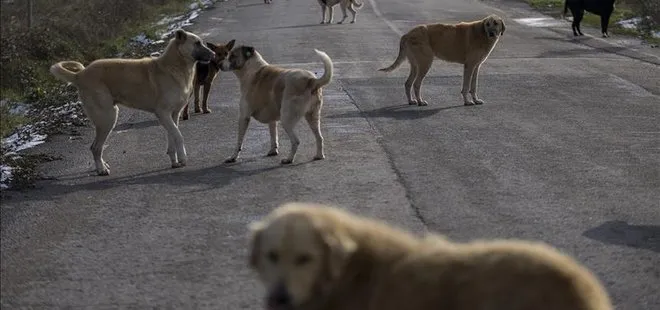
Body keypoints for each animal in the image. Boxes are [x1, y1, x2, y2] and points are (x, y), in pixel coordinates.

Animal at [52, 30, 217, 176]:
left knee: (97, 147)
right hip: (107, 118)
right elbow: (179, 136)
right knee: (95, 147)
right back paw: (101, 170)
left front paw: (175, 161)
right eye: (196, 43)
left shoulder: (173, 115)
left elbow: (172, 137)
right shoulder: (163, 113)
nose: (214, 55)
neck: (175, 66)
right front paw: (183, 158)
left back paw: (103, 166)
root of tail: (80, 75)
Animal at [376, 14, 506, 106]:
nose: (491, 33)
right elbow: (466, 86)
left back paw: (411, 101)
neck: (482, 33)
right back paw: (420, 101)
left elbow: (473, 86)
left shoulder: (476, 66)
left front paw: (476, 99)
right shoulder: (469, 66)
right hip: (425, 63)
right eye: (487, 24)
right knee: (417, 84)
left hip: (416, 65)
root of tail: (407, 34)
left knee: (408, 83)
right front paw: (467, 101)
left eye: (495, 23)